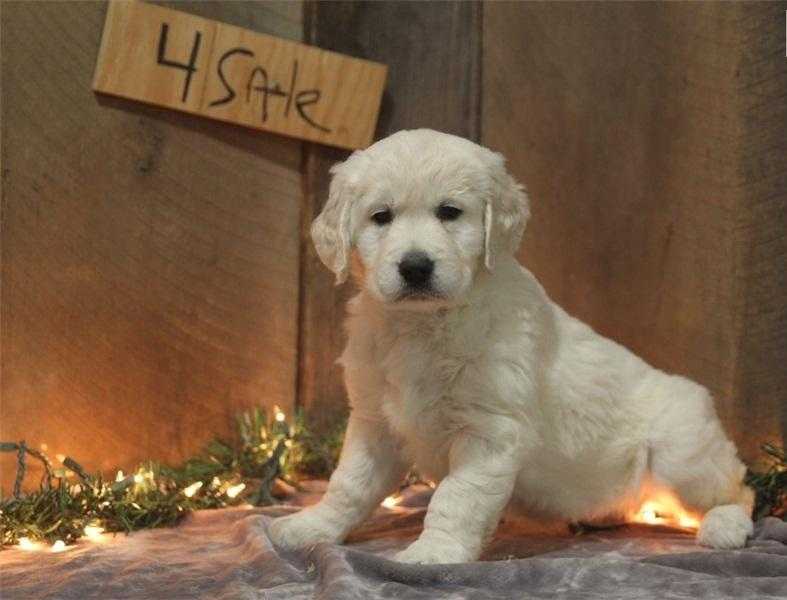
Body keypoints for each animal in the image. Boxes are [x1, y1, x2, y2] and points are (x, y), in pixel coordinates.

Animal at [268, 129, 756, 564]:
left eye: (450, 212)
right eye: (381, 216)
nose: (415, 266)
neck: (425, 325)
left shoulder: (489, 431)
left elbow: (456, 498)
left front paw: (433, 553)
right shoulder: (375, 422)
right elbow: (348, 483)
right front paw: (311, 527)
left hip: (682, 451)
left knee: (740, 489)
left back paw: (725, 526)